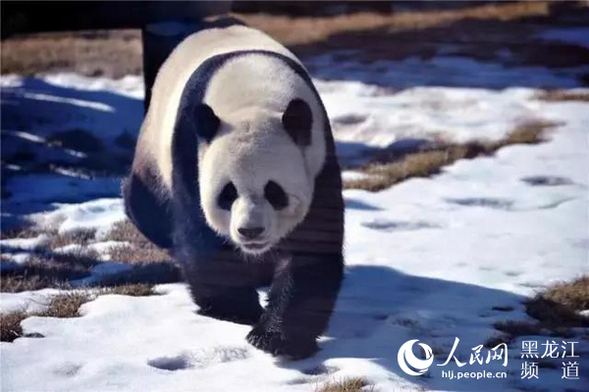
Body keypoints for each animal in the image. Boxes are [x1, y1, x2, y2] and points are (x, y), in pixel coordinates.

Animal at [123, 19, 344, 362]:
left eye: (275, 191)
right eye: (227, 193)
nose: (250, 231)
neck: (253, 94)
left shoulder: (317, 157)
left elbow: (312, 247)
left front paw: (275, 336)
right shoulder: (191, 150)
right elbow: (202, 236)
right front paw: (236, 309)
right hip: (152, 148)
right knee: (145, 208)